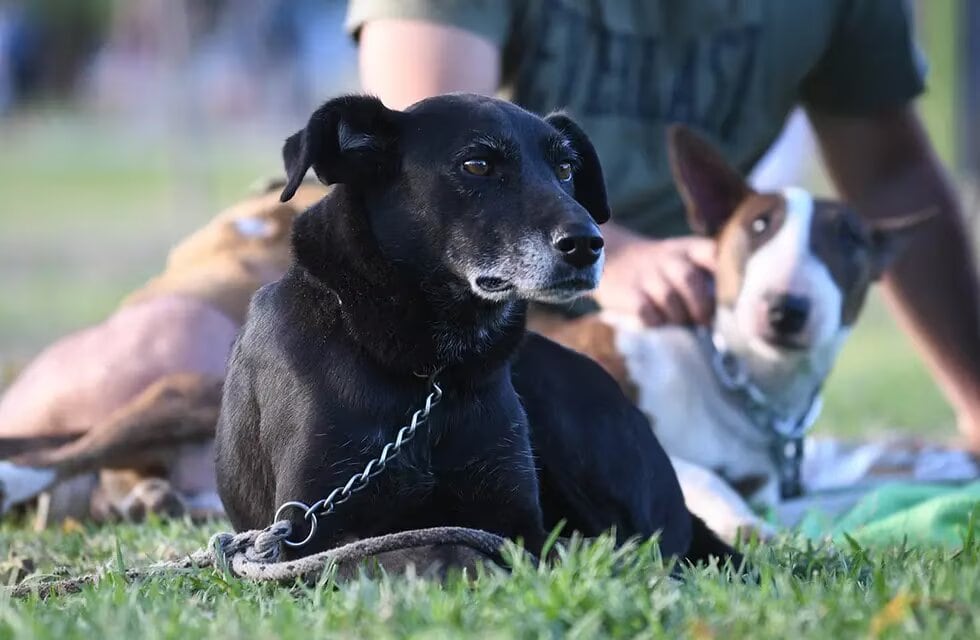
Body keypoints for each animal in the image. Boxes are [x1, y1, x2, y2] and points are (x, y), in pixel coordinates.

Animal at [214, 92, 736, 564]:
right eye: (477, 165)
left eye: (566, 169)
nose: (588, 244)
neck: (430, 375)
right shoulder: (307, 533)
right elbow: (418, 547)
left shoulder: (517, 519)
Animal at [532, 126, 932, 540]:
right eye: (758, 225)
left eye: (850, 238)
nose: (786, 309)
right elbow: (696, 473)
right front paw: (750, 528)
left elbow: (851, 498)